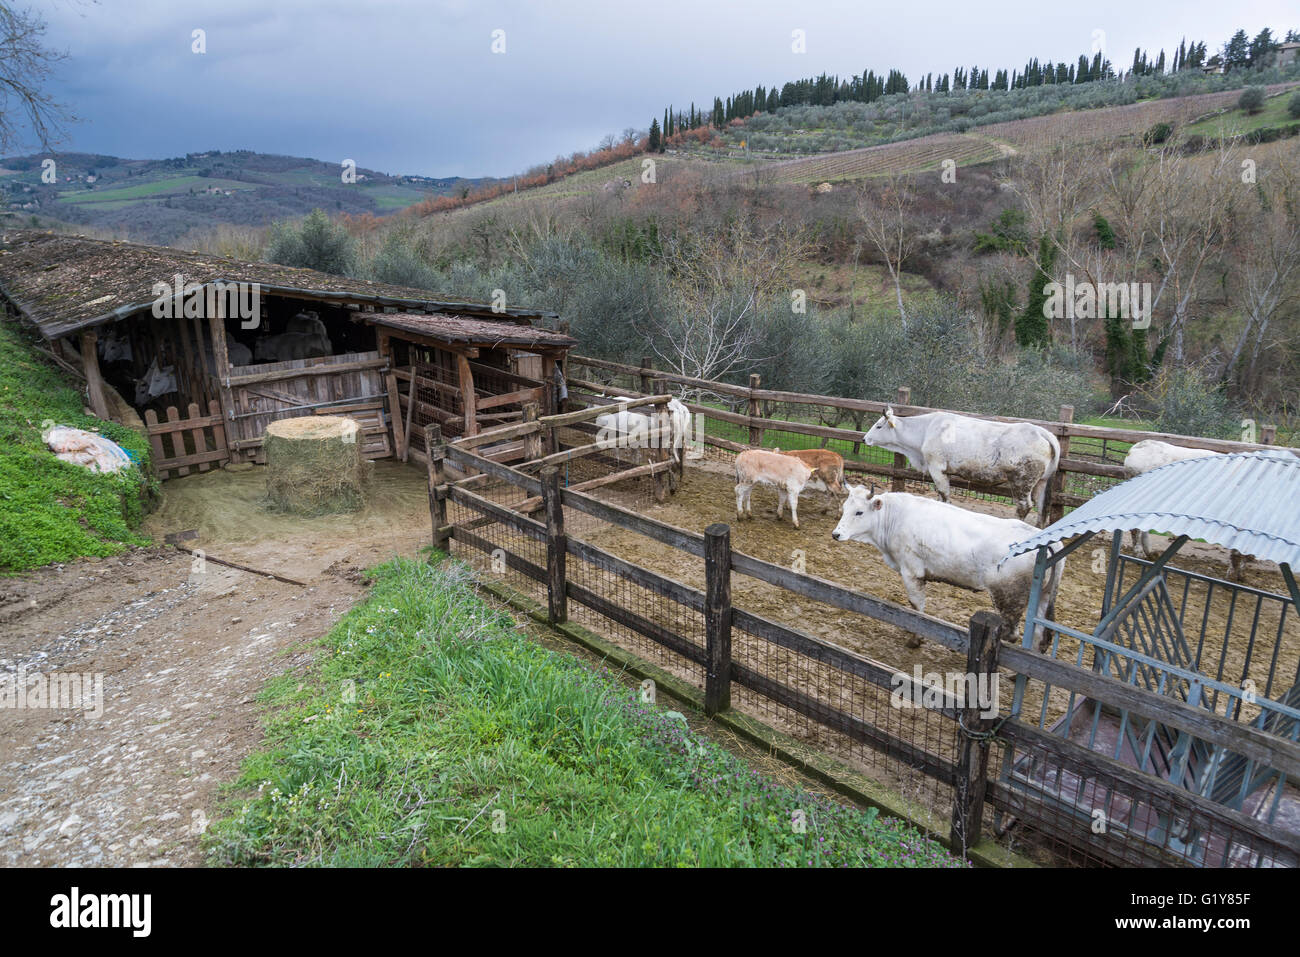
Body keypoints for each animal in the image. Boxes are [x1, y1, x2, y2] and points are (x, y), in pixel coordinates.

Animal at [832, 486, 1066, 650]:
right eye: (844, 508)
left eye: (859, 512)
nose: (836, 534)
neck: (895, 517)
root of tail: (1047, 540)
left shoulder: (912, 572)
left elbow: (916, 606)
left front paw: (915, 639)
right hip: (1043, 597)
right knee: (1040, 635)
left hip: (1009, 598)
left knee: (1013, 635)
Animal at [863, 403, 1055, 522]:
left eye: (879, 426)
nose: (865, 439)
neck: (926, 430)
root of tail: (1042, 432)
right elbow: (941, 496)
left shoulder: (937, 468)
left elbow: (944, 494)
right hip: (1041, 482)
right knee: (1041, 507)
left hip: (1021, 481)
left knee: (1024, 506)